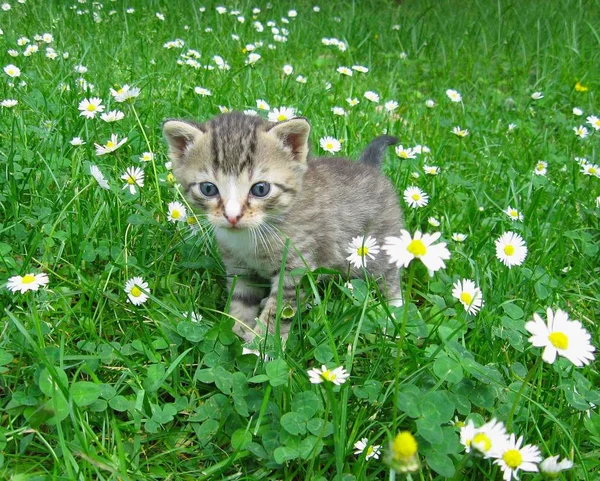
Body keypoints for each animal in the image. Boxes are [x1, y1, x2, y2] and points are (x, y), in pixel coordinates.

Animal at [163, 112, 404, 344]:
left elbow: (278, 313)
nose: (232, 216)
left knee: (389, 278)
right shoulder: (239, 268)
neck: (252, 235)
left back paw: (394, 315)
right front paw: (237, 331)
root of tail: (368, 167)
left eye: (260, 189)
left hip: (376, 249)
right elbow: (241, 300)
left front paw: (259, 345)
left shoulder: (296, 268)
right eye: (208, 188)